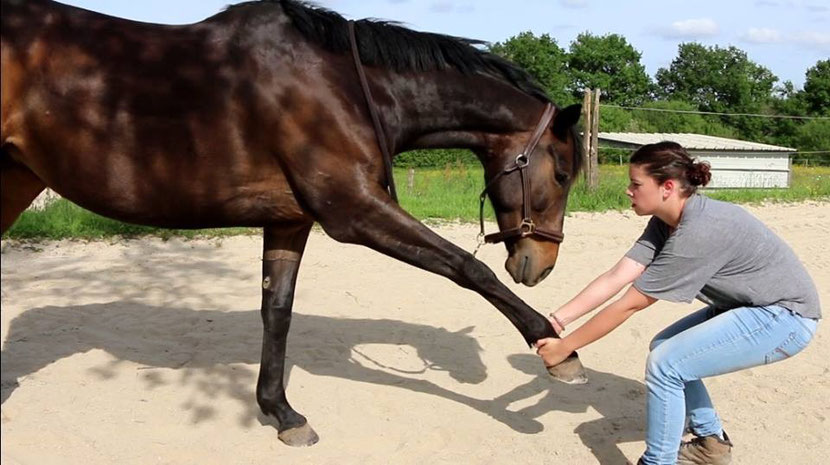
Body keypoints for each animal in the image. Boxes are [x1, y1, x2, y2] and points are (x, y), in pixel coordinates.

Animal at [4, 0, 592, 444]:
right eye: (563, 172)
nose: (540, 263)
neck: (339, 86)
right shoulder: (352, 210)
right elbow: (468, 268)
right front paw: (555, 349)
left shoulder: (290, 220)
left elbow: (277, 312)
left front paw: (281, 412)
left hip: (16, 179)